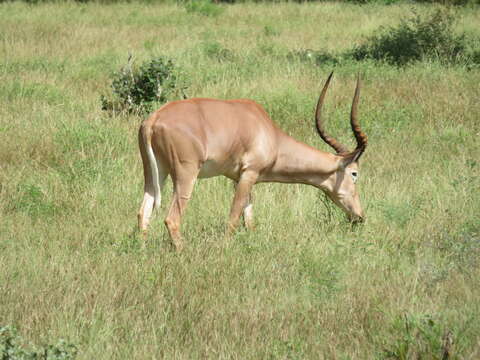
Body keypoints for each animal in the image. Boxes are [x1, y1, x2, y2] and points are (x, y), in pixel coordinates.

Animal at [137, 73, 370, 250]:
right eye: (354, 173)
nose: (359, 217)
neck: (268, 132)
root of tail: (153, 120)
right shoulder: (249, 174)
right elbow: (233, 219)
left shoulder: (241, 178)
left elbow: (249, 220)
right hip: (186, 176)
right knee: (172, 219)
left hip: (155, 173)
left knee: (143, 212)